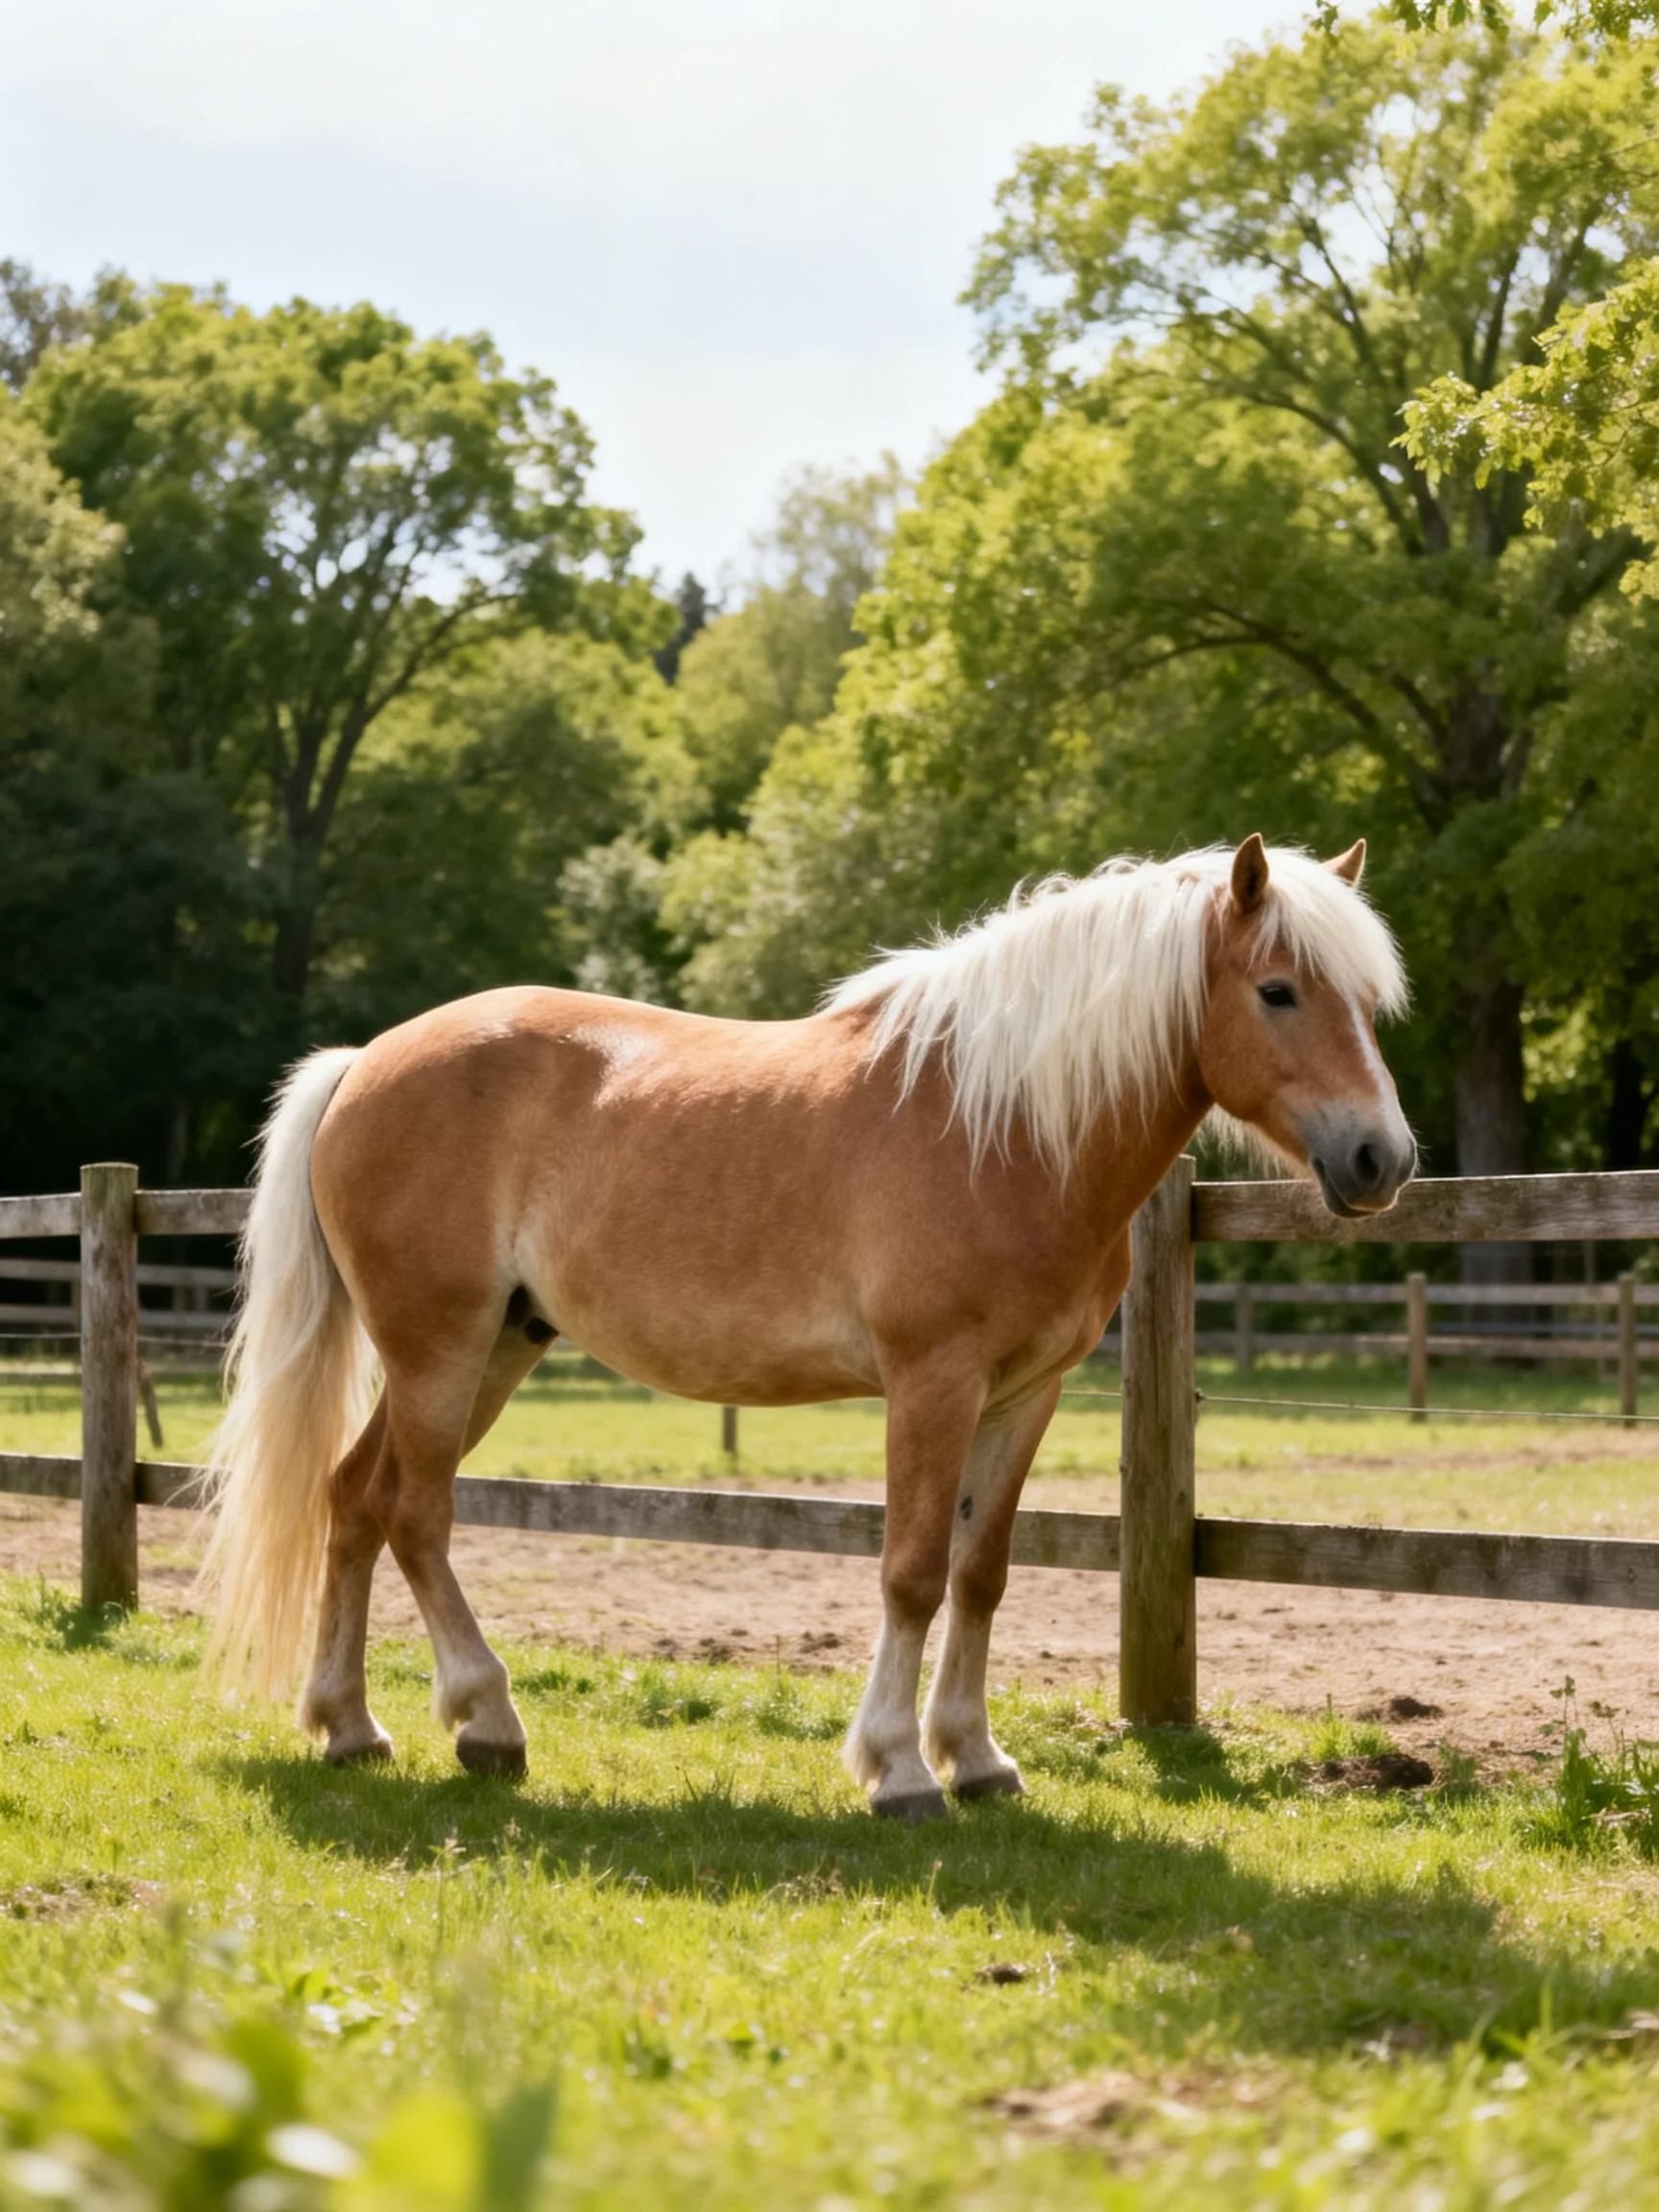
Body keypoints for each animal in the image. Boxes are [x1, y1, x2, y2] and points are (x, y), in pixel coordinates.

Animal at [202, 834, 1413, 1819]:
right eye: (1278, 990)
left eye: (1365, 999)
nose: (1382, 1160)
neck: (1009, 1129)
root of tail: (364, 1063)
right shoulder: (933, 1382)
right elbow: (913, 1570)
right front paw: (901, 1771)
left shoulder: (1026, 1394)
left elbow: (982, 1572)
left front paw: (978, 1759)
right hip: (437, 1349)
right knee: (415, 1513)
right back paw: (487, 1721)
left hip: (494, 1345)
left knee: (354, 1501)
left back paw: (350, 1728)